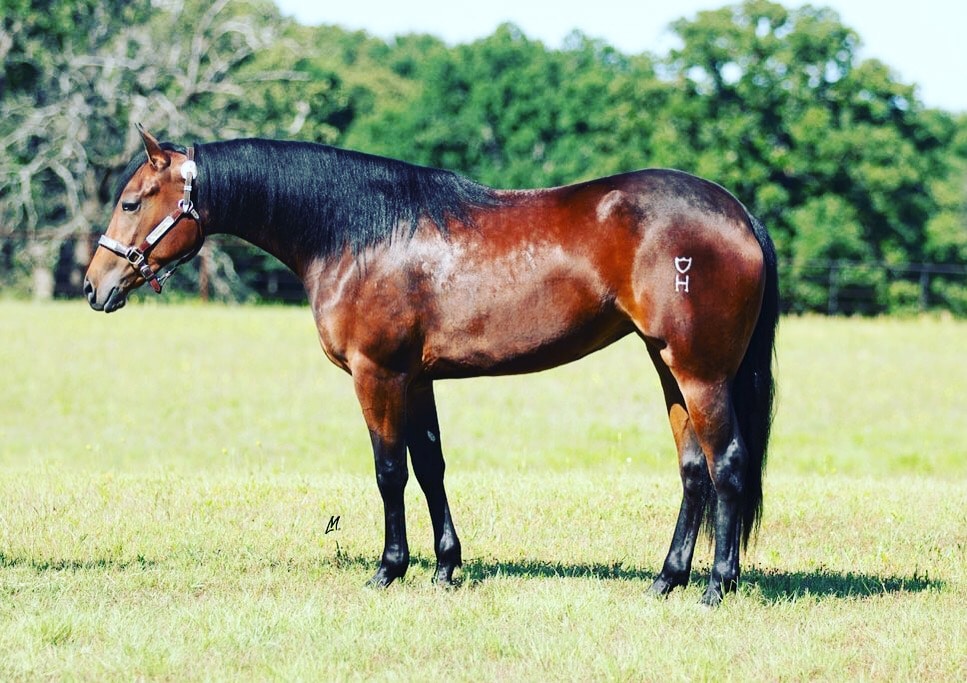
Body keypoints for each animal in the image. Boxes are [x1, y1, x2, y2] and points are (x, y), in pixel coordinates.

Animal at [84, 126, 778, 606]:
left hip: (701, 373)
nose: (95, 285)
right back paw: (666, 581)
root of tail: (737, 212)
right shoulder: (416, 380)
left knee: (728, 465)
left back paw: (716, 587)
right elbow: (430, 467)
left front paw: (389, 568)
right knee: (693, 471)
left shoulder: (378, 374)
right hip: (667, 367)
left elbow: (389, 471)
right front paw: (446, 566)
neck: (361, 233)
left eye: (131, 202)